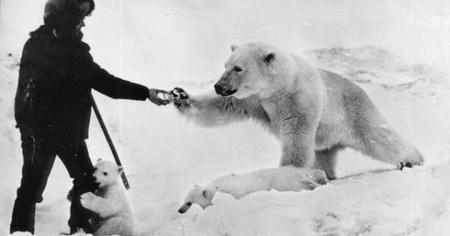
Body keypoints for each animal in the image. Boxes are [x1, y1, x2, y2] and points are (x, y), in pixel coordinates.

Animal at [171, 42, 424, 179]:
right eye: (225, 65)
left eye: (238, 68)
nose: (218, 86)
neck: (279, 88)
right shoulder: (254, 100)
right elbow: (221, 107)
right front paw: (180, 96)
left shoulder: (300, 100)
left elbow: (297, 137)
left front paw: (286, 174)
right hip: (326, 139)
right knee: (322, 156)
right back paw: (327, 176)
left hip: (354, 112)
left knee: (379, 137)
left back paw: (412, 160)